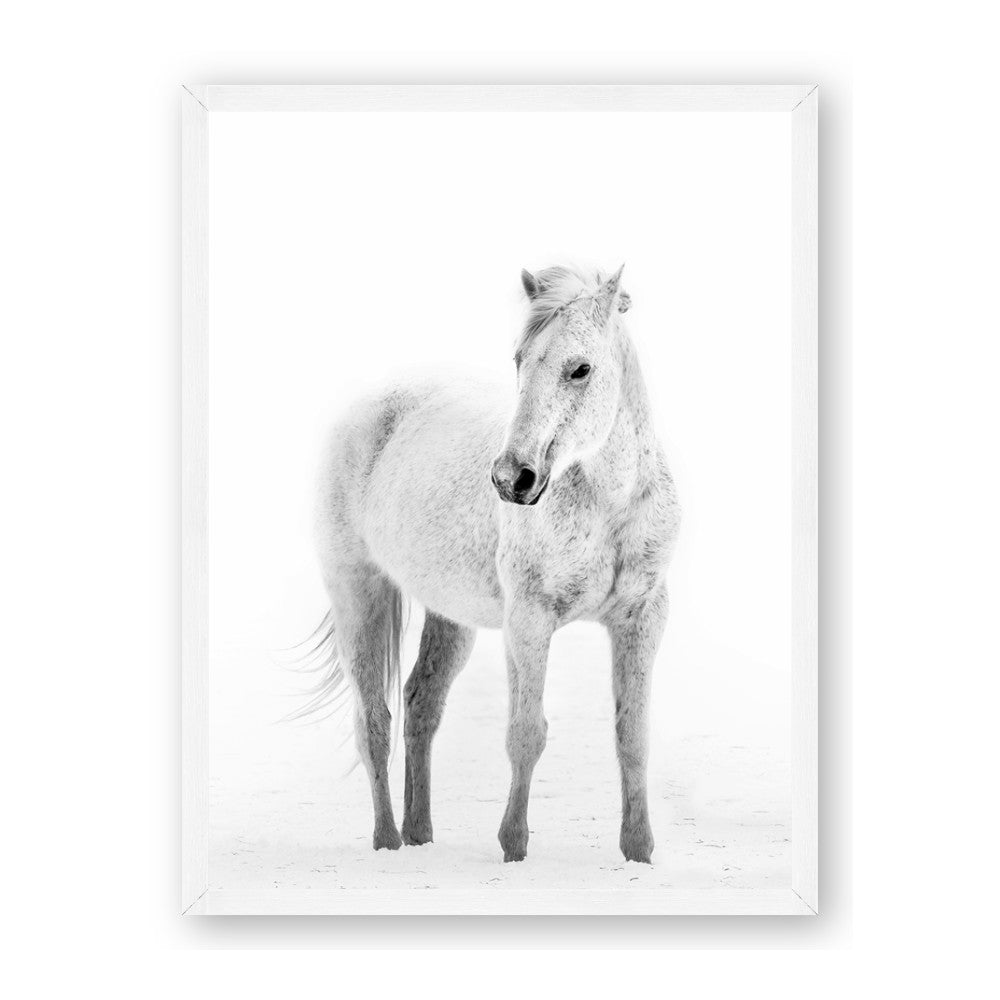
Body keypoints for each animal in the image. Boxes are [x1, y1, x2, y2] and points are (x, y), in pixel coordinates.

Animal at [308, 263, 681, 863]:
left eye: (581, 369)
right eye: (519, 360)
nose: (512, 479)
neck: (609, 505)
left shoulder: (643, 617)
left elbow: (632, 737)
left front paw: (639, 852)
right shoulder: (528, 621)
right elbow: (526, 733)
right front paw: (513, 846)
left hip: (449, 616)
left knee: (420, 704)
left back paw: (420, 833)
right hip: (357, 593)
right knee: (374, 722)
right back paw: (388, 841)